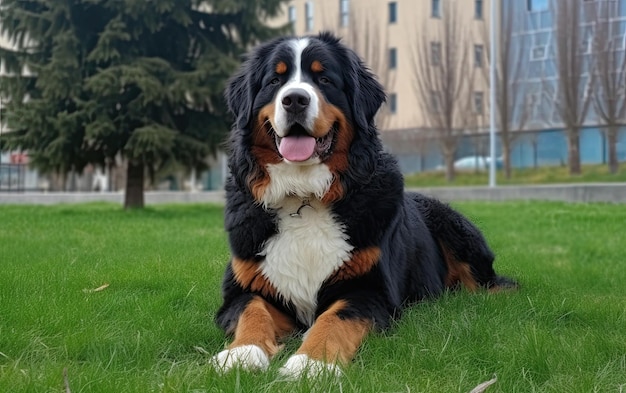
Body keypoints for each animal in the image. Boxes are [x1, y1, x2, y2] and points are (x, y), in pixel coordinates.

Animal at [212, 33, 516, 376]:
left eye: (324, 79)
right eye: (274, 81)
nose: (294, 100)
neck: (304, 194)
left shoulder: (370, 290)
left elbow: (334, 318)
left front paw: (311, 363)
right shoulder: (244, 287)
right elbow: (252, 310)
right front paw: (242, 352)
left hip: (455, 230)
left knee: (496, 284)